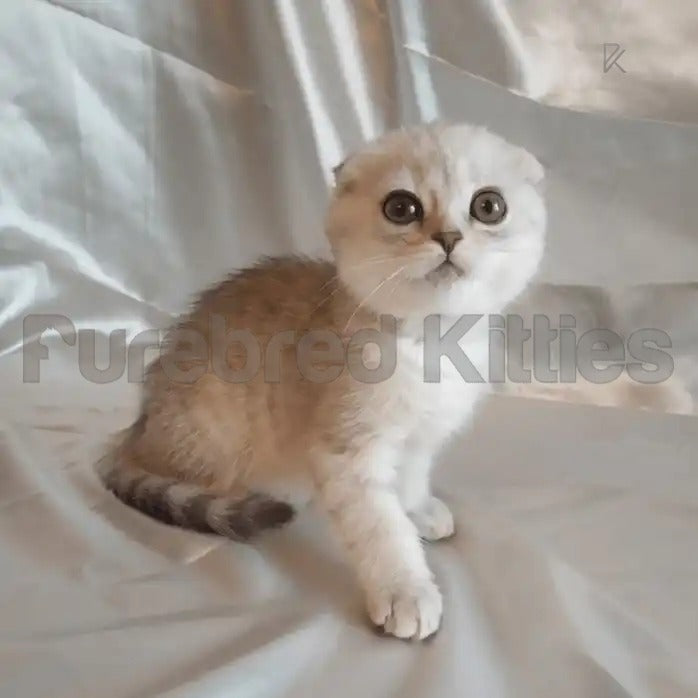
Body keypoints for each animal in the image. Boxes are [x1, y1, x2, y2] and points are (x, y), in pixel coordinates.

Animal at [96, 121, 544, 636]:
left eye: (489, 206)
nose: (448, 236)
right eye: (402, 208)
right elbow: (380, 528)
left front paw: (417, 509)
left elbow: (411, 476)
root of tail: (137, 428)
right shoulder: (346, 454)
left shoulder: (418, 438)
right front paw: (405, 590)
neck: (431, 343)